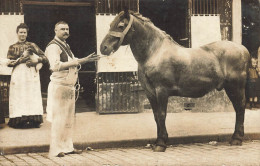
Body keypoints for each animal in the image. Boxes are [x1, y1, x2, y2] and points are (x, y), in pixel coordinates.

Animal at [99, 10, 250, 152]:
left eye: (120, 25)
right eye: (110, 24)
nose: (103, 48)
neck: (154, 53)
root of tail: (243, 49)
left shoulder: (161, 91)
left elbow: (161, 115)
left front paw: (161, 144)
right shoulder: (150, 93)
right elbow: (156, 117)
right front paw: (158, 141)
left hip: (235, 87)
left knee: (240, 108)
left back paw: (237, 139)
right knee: (238, 108)